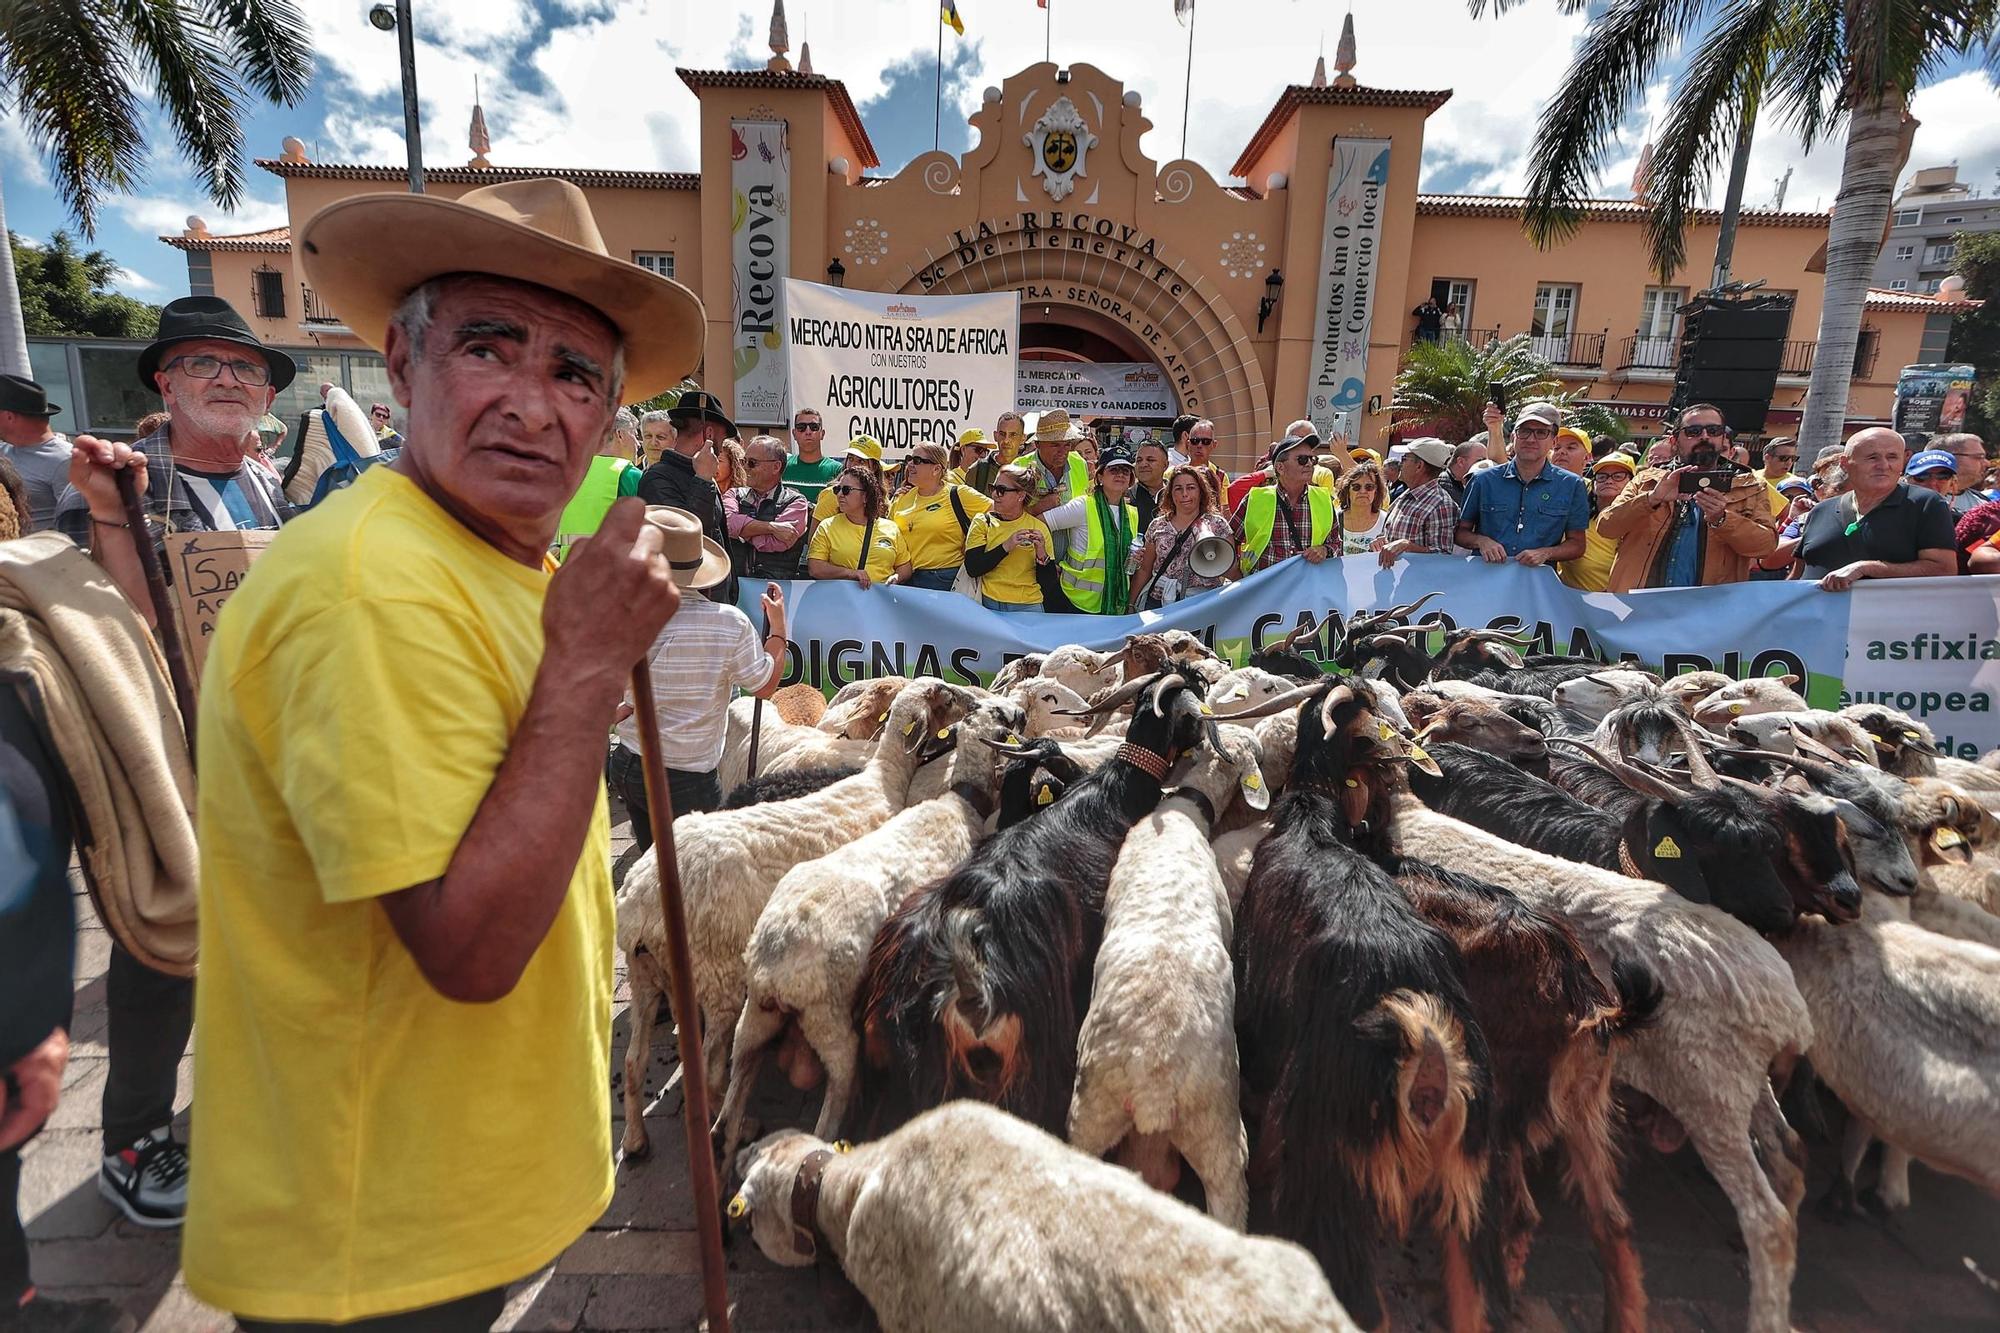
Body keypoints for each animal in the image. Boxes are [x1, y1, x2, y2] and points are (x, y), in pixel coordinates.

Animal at [616, 676, 976, 1152]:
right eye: (945, 695)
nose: (976, 703)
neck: (882, 779)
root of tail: (639, 899)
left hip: (644, 976)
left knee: (634, 1061)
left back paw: (636, 1139)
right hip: (717, 973)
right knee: (712, 1065)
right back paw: (740, 1124)